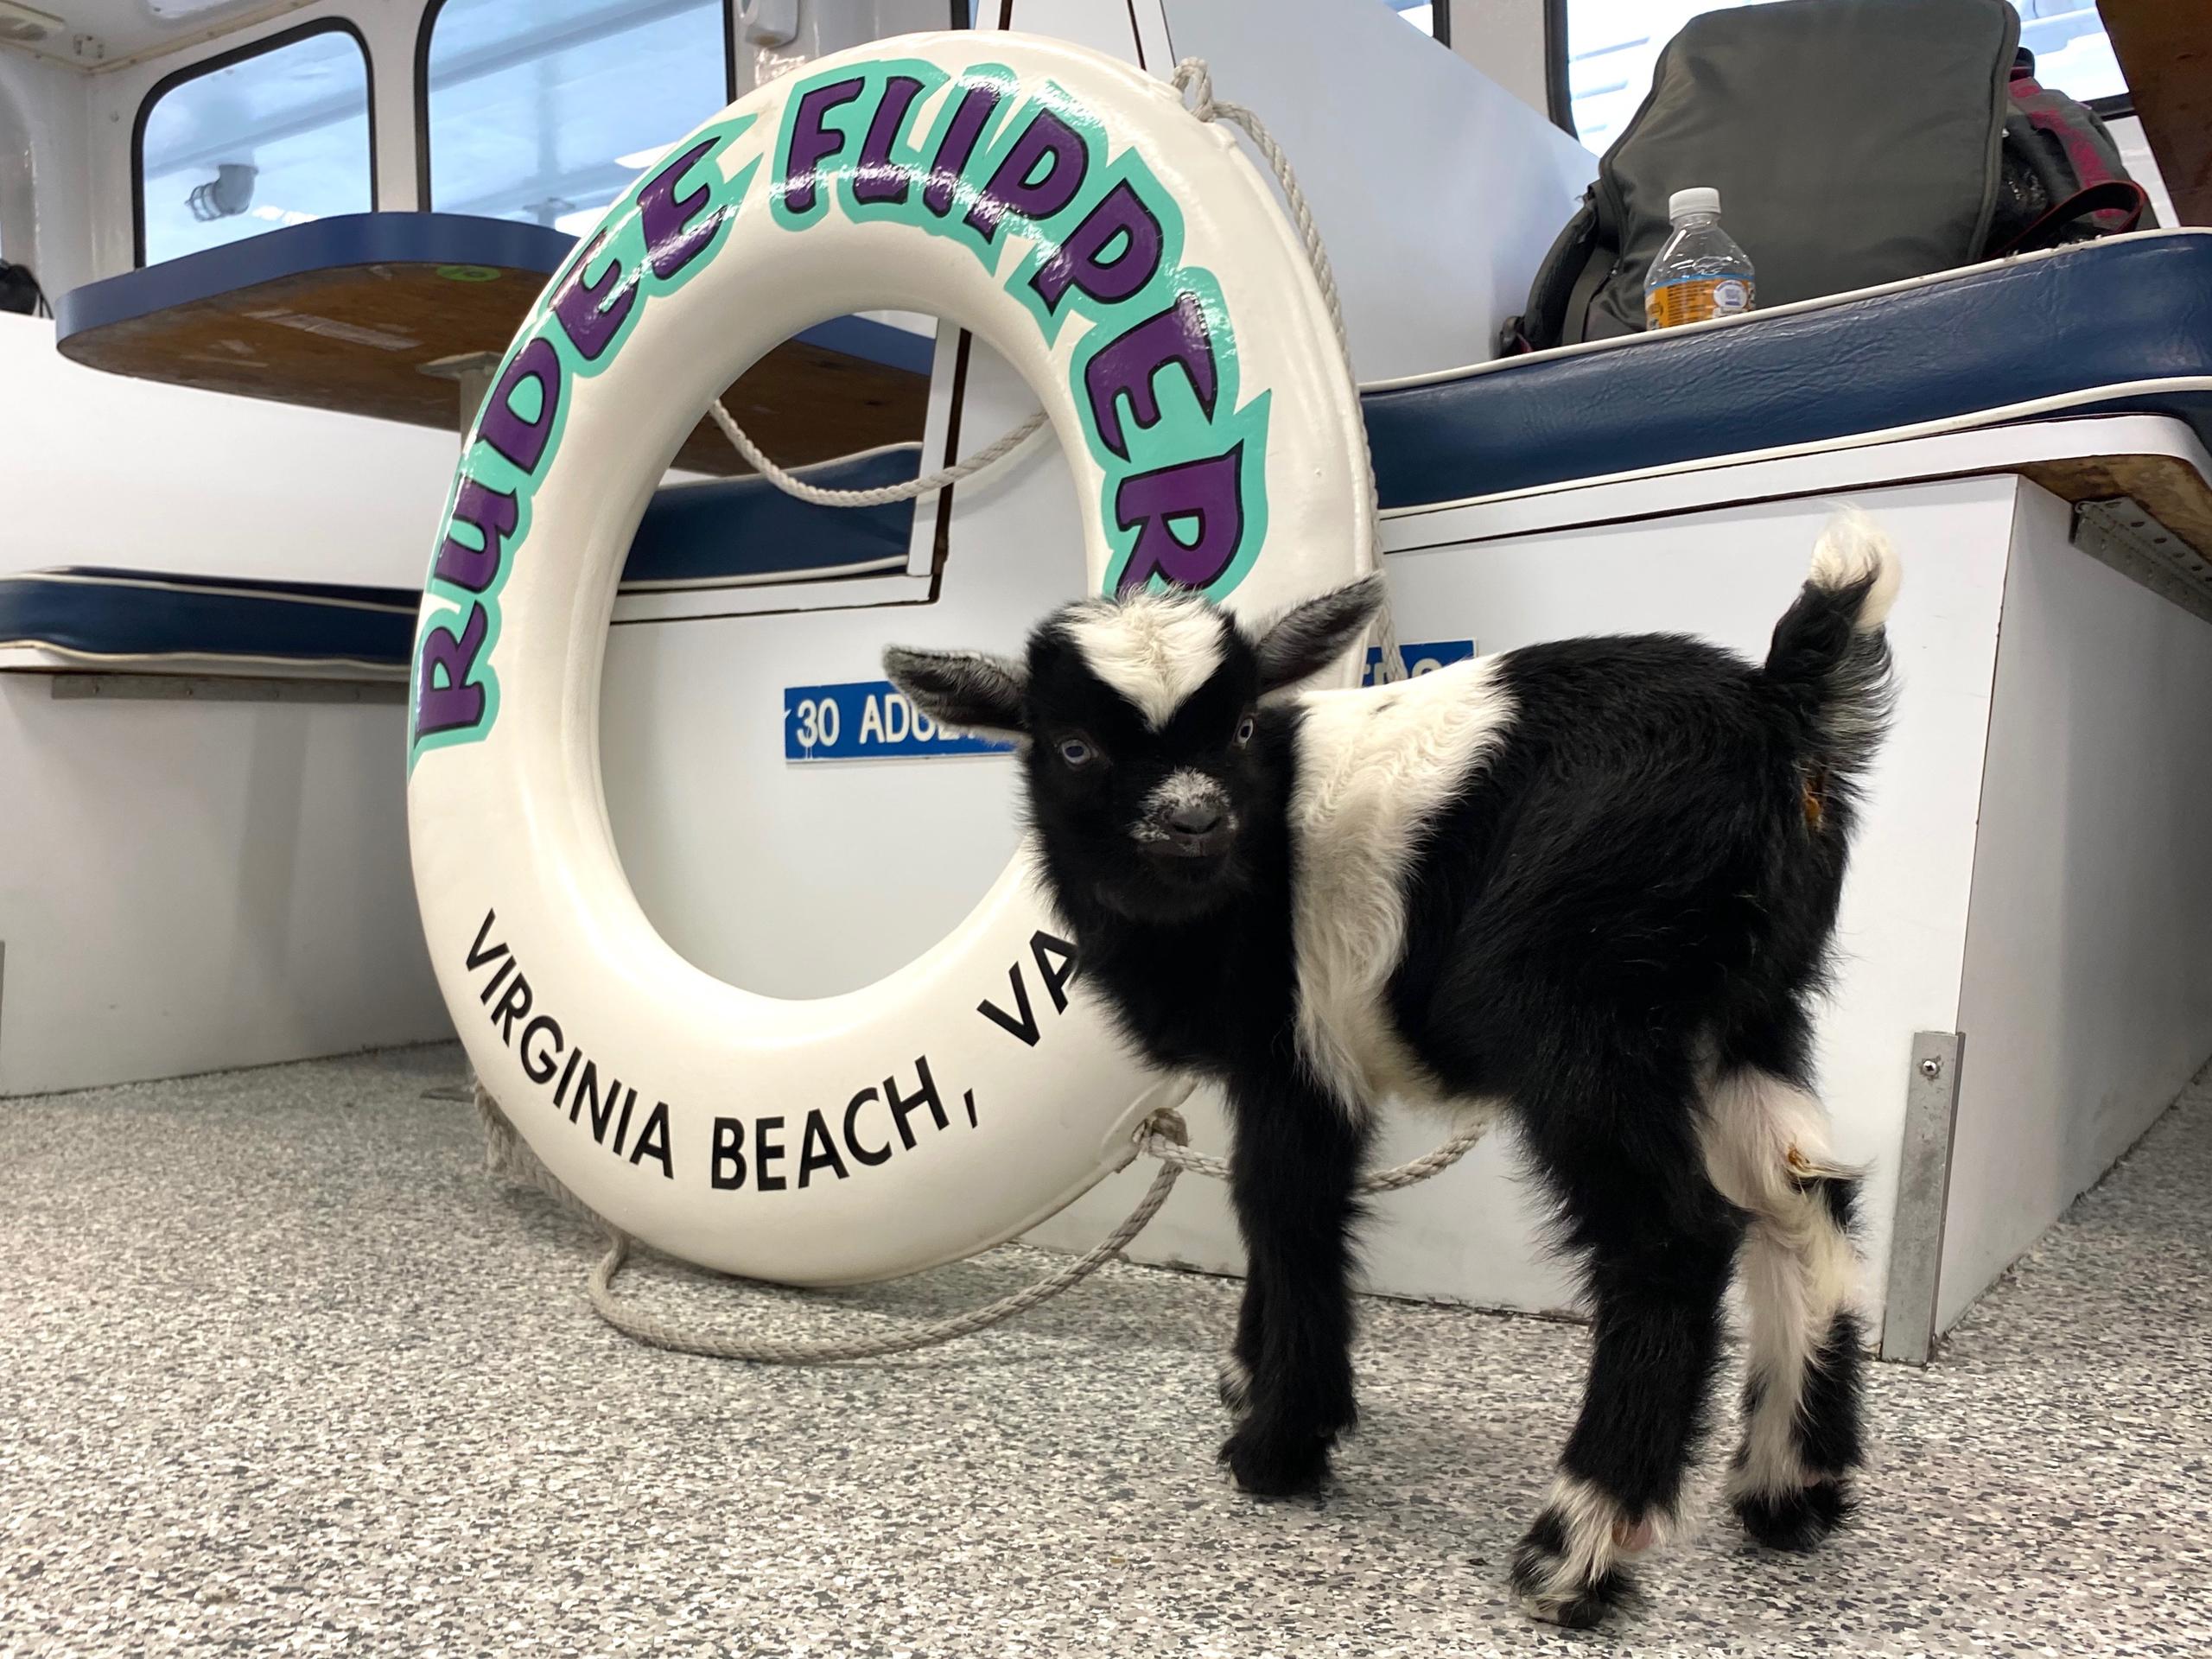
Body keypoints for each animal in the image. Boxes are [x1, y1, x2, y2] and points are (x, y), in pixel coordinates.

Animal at [884, 514, 1899, 1627]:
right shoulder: (1275, 1060)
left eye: (1242, 729)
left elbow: (1284, 1206)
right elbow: (1265, 1211)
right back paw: (1790, 1488)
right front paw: (1251, 1381)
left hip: (1579, 1005)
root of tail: (1779, 707)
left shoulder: (1298, 1048)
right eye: (1072, 746)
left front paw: (1278, 1444)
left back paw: (1575, 1547)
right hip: (1748, 1013)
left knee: (1671, 1238)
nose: (1193, 819)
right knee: (1804, 1201)